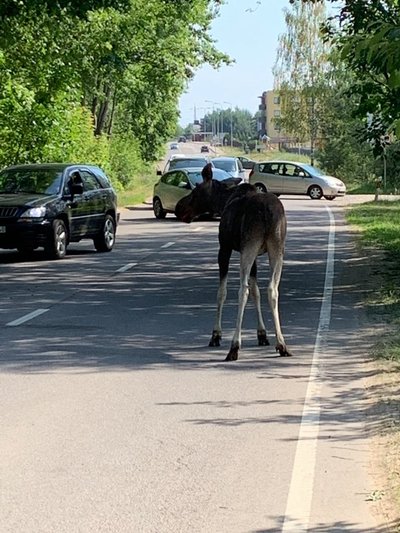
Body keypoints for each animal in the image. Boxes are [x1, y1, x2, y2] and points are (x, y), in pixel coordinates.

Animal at [175, 163, 290, 362]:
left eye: (195, 191)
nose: (178, 208)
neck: (222, 203)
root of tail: (267, 213)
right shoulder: (255, 256)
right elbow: (256, 291)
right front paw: (262, 334)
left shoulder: (225, 248)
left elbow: (222, 292)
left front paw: (216, 335)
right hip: (277, 248)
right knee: (272, 289)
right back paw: (281, 344)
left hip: (249, 247)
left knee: (242, 290)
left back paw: (234, 346)